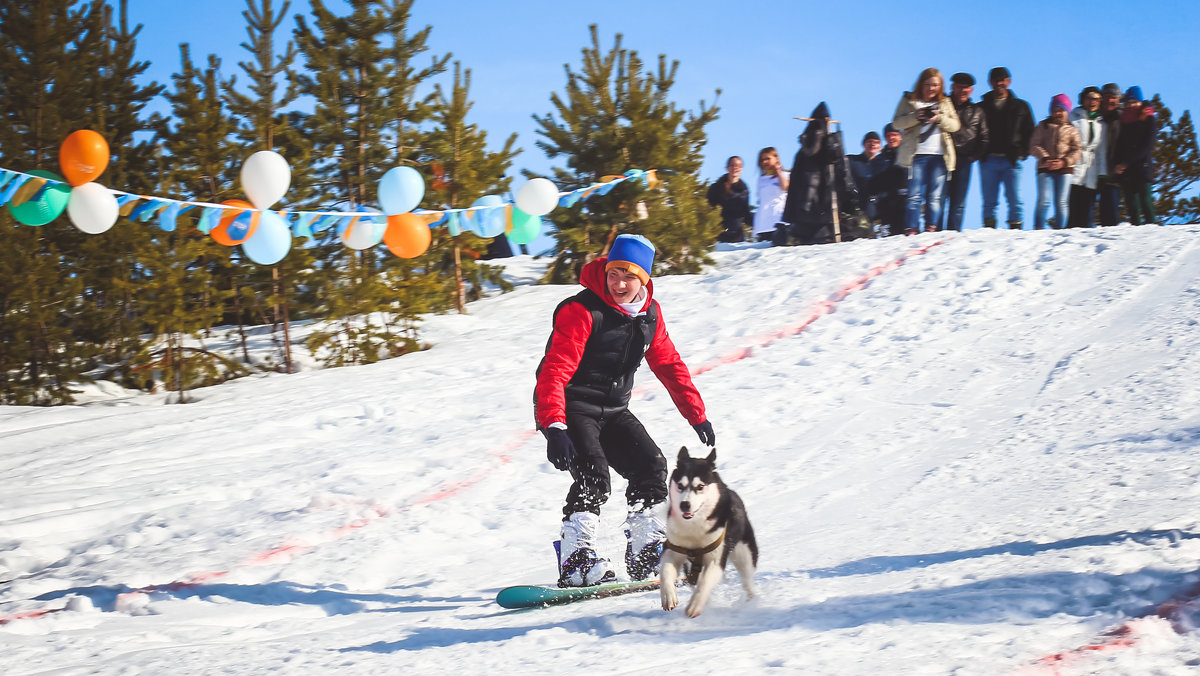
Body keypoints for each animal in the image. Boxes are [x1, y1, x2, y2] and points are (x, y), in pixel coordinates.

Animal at [662, 446, 753, 614]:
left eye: (700, 486)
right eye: (680, 485)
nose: (684, 505)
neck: (694, 527)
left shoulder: (716, 559)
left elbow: (704, 583)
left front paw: (695, 605)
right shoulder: (673, 550)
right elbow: (665, 571)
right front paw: (668, 596)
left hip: (744, 554)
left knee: (747, 580)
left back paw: (751, 600)